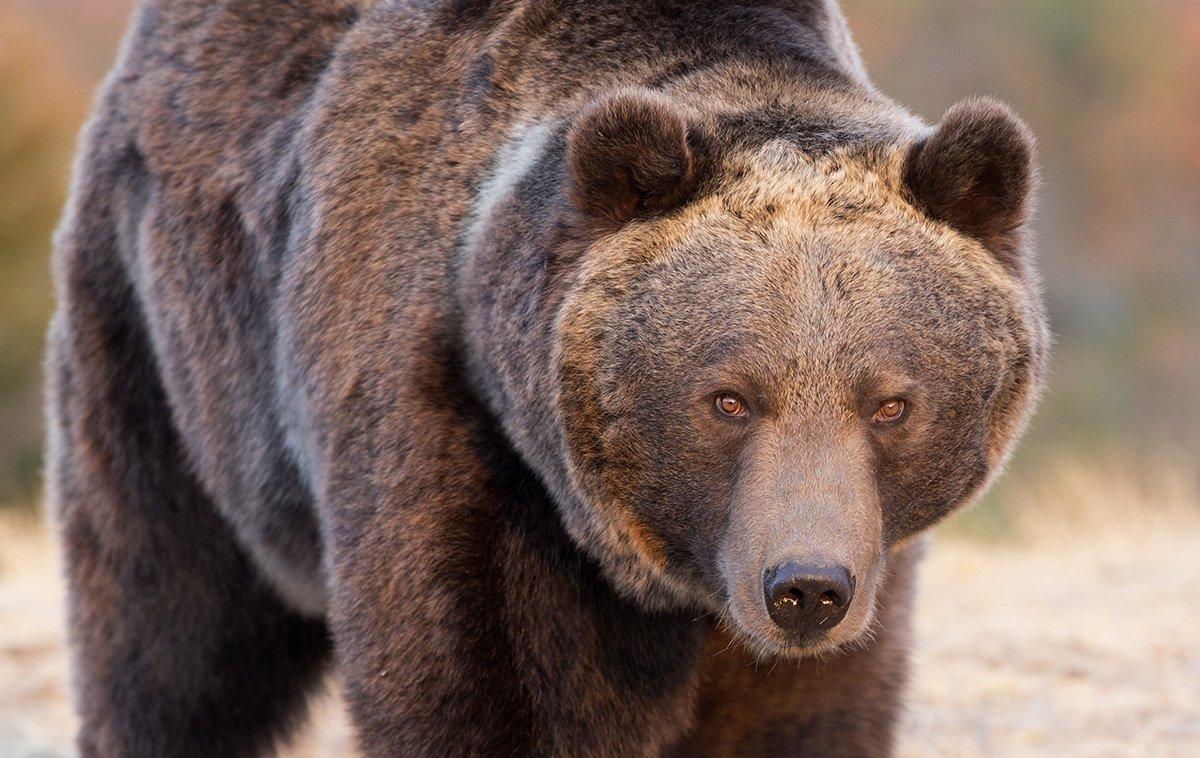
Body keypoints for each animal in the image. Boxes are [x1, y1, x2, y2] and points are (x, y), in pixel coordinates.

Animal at [49, 0, 1041, 753]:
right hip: (163, 343)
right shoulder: (457, 430)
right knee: (169, 626)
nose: (805, 589)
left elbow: (804, 711)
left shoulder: (866, 556)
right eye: (728, 398)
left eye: (890, 403)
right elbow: (482, 691)